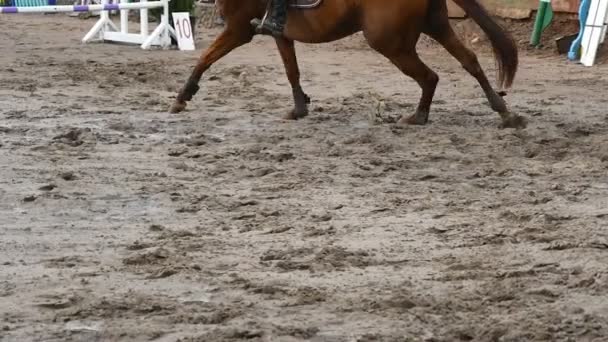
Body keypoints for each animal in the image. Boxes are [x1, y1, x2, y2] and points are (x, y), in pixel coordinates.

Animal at [170, 0, 528, 129]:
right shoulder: (278, 31)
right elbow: (291, 69)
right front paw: (299, 107)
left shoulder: (238, 29)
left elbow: (204, 58)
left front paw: (182, 98)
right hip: (435, 25)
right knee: (469, 62)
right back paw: (505, 113)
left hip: (389, 42)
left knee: (430, 76)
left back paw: (418, 116)